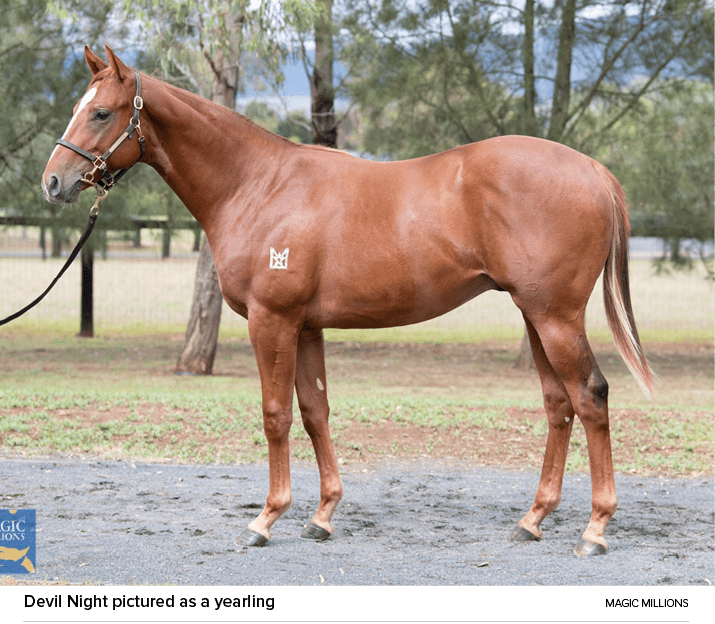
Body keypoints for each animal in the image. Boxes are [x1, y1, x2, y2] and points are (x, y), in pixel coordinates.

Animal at [40, 47, 656, 556]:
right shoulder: (306, 326)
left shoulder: (272, 322)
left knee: (590, 396)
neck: (258, 184)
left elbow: (276, 415)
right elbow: (315, 412)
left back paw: (595, 529)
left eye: (102, 113)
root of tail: (591, 169)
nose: (53, 182)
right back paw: (532, 520)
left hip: (555, 319)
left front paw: (265, 520)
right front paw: (323, 515)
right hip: (534, 316)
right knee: (558, 404)